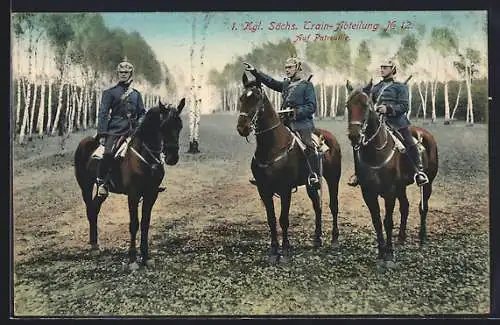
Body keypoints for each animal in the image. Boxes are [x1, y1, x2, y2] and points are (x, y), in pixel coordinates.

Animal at [73, 97, 185, 268]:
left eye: (179, 126)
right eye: (163, 126)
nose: (172, 157)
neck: (146, 156)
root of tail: (85, 142)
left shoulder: (151, 194)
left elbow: (145, 223)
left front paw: (145, 256)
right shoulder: (133, 195)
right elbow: (134, 224)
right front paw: (132, 259)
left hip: (102, 190)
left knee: (95, 208)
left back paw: (95, 244)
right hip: (85, 185)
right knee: (90, 209)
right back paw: (93, 246)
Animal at [236, 72, 342, 262]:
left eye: (256, 98)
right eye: (242, 98)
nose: (242, 128)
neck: (272, 146)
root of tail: (331, 138)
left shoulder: (285, 189)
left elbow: (283, 219)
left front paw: (285, 249)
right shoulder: (264, 190)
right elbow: (271, 219)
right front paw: (273, 249)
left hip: (333, 179)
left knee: (333, 205)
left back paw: (334, 239)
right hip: (310, 184)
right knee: (317, 206)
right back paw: (317, 238)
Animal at [344, 79, 438, 264]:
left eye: (365, 105)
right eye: (347, 105)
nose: (354, 136)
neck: (375, 152)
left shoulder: (389, 192)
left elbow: (387, 221)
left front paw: (388, 253)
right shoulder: (368, 192)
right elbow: (376, 220)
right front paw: (381, 250)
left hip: (427, 183)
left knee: (422, 208)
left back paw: (422, 237)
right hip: (401, 187)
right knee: (405, 207)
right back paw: (401, 238)